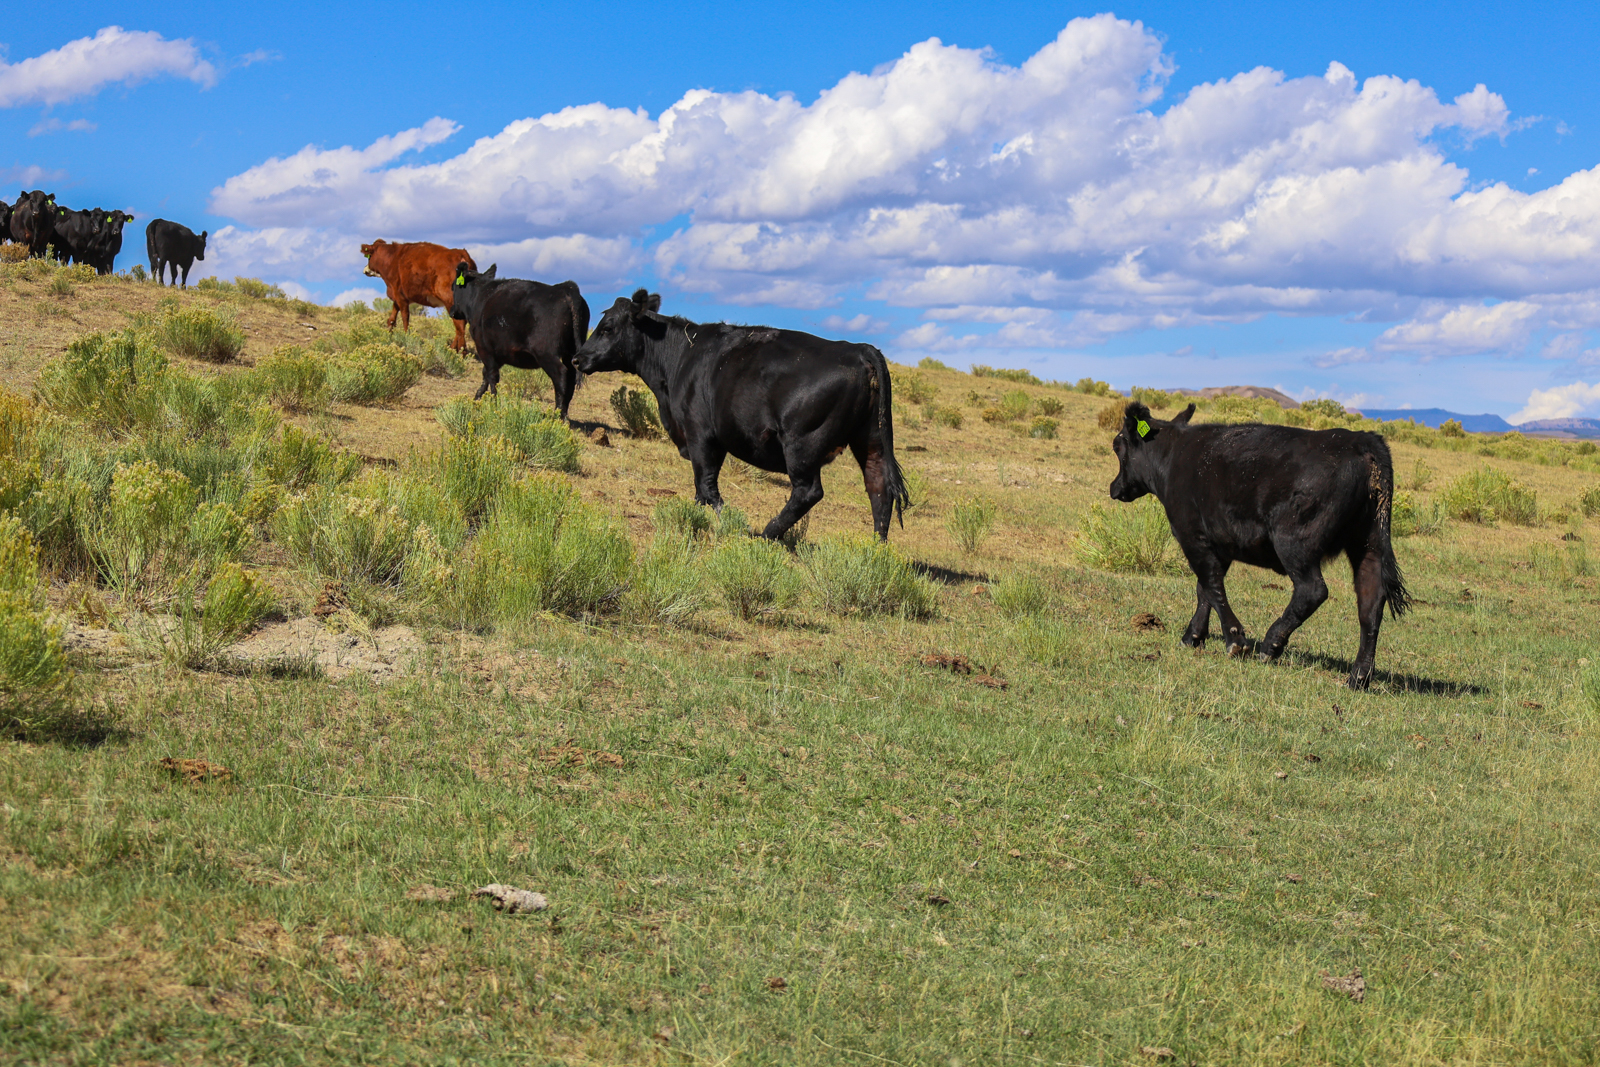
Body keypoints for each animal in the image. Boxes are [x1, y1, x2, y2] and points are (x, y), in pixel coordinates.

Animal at [450, 263, 588, 417]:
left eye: (453, 287)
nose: (452, 311)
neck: (479, 297)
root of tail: (565, 287)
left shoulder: (484, 348)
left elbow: (491, 376)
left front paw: (493, 404)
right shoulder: (499, 354)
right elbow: (486, 375)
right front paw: (477, 398)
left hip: (545, 353)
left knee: (561, 376)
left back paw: (557, 416)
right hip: (571, 352)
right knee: (570, 379)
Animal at [575, 289, 911, 542]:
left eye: (607, 328)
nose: (578, 358)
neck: (679, 359)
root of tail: (858, 348)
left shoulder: (700, 434)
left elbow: (707, 486)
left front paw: (730, 523)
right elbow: (701, 489)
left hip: (802, 444)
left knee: (808, 492)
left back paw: (767, 534)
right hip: (871, 440)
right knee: (879, 488)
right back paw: (876, 550)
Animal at [1108, 401, 1411, 690]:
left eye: (1117, 445)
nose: (1113, 487)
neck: (1173, 457)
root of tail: (1361, 439)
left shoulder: (1192, 536)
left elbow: (1212, 585)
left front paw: (1234, 640)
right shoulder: (1219, 543)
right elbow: (1204, 590)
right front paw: (1192, 636)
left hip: (1294, 542)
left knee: (1313, 590)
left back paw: (1270, 645)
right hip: (1368, 544)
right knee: (1370, 603)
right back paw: (1357, 678)